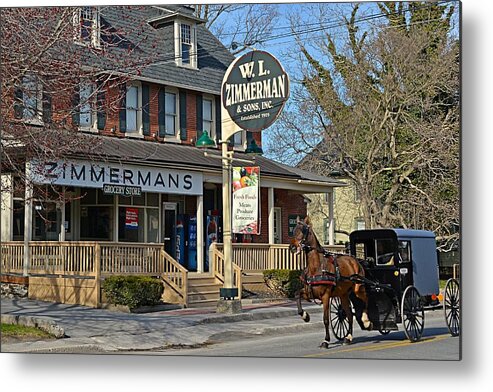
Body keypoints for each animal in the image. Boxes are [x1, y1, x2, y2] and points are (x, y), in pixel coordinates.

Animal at [292, 216, 368, 348]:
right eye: (293, 230)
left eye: (303, 230)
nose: (291, 248)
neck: (316, 267)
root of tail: (354, 260)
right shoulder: (309, 293)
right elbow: (297, 294)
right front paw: (305, 316)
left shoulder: (326, 296)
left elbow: (326, 319)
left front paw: (326, 340)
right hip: (343, 295)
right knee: (349, 315)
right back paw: (348, 337)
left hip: (359, 289)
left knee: (366, 301)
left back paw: (366, 320)